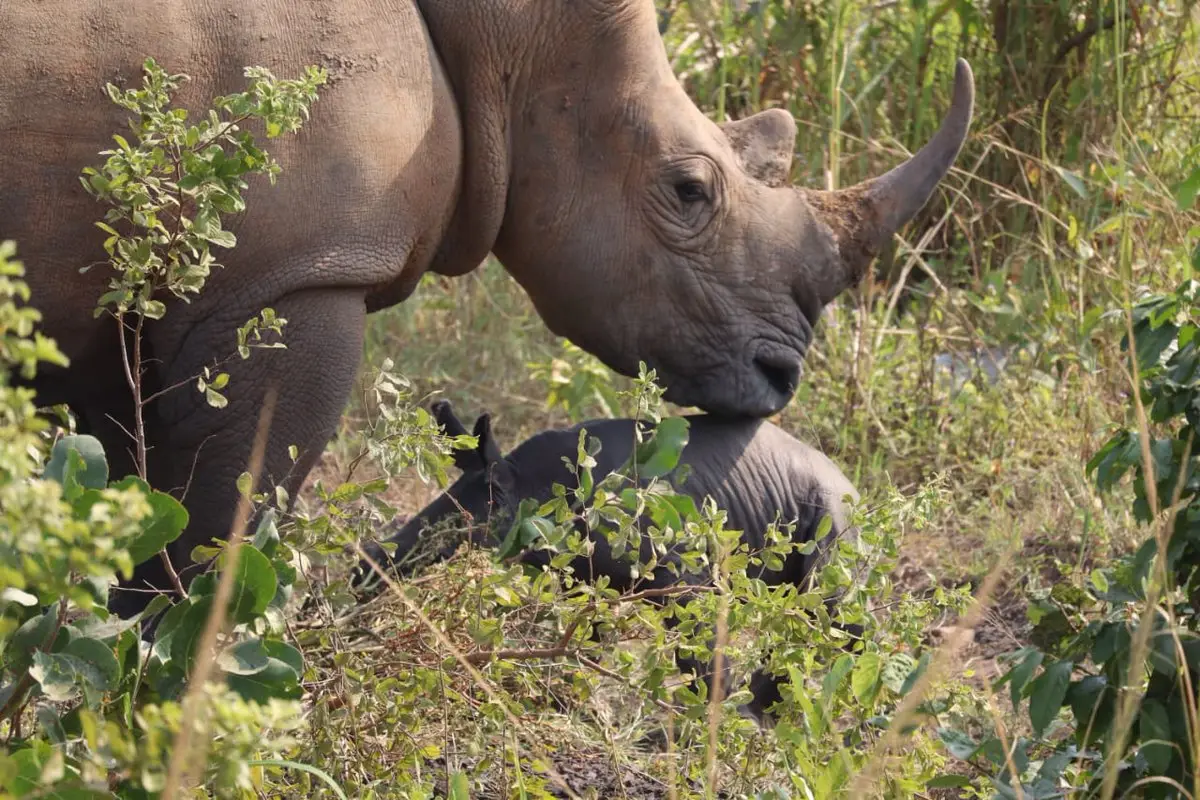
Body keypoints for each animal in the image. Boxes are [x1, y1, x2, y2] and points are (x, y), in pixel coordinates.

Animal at [2, 0, 972, 615]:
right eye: (690, 191)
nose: (782, 378)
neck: (511, 30)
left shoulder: (129, 303)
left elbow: (122, 496)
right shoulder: (288, 277)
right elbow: (212, 523)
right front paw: (173, 684)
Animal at [355, 400, 861, 723]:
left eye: (465, 527)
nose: (366, 567)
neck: (532, 484)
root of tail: (852, 486)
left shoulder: (685, 580)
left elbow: (699, 657)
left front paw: (705, 728)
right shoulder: (586, 579)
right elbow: (584, 644)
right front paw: (566, 706)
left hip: (834, 520)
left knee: (826, 618)